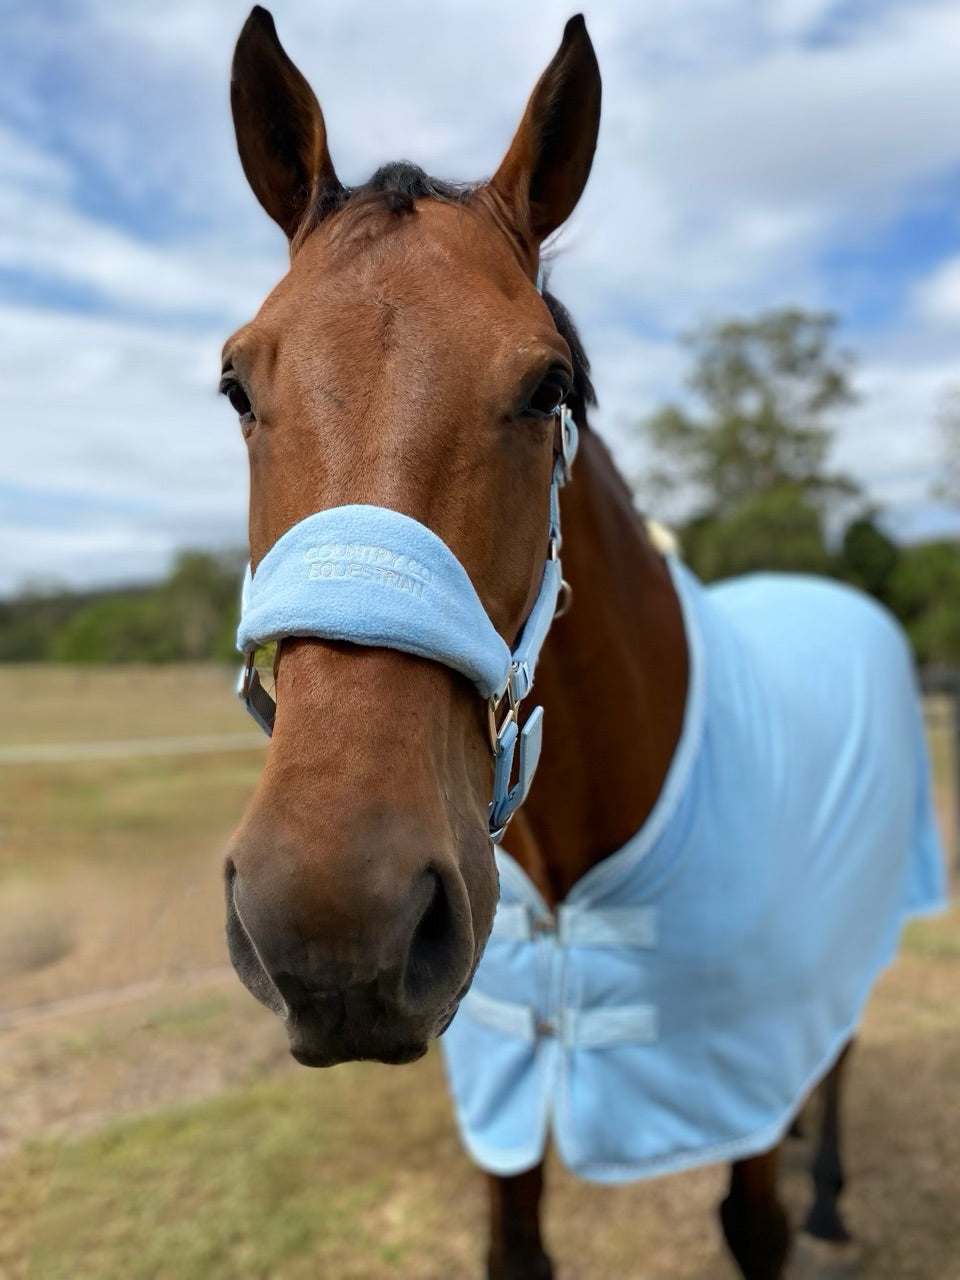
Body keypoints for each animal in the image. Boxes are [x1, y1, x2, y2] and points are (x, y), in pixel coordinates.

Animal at [220, 12, 947, 1280]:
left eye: (545, 385)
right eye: (234, 385)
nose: (335, 923)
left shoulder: (732, 1079)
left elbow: (756, 1221)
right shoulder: (506, 1096)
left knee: (842, 1050)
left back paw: (831, 1189)